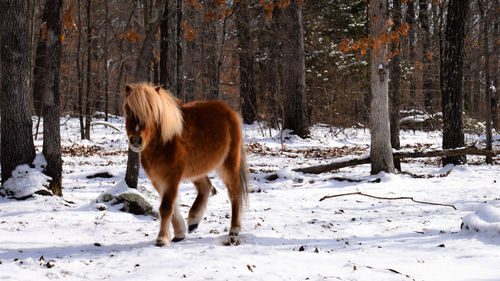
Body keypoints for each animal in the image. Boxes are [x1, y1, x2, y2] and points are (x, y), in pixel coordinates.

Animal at [123, 81, 248, 245]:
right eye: (128, 111)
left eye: (151, 112)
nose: (136, 140)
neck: (164, 142)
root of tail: (230, 112)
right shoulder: (158, 180)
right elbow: (171, 206)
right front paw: (179, 233)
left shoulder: (171, 178)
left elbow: (166, 207)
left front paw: (162, 238)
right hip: (197, 169)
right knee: (206, 186)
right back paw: (194, 220)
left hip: (228, 164)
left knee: (234, 192)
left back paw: (234, 228)